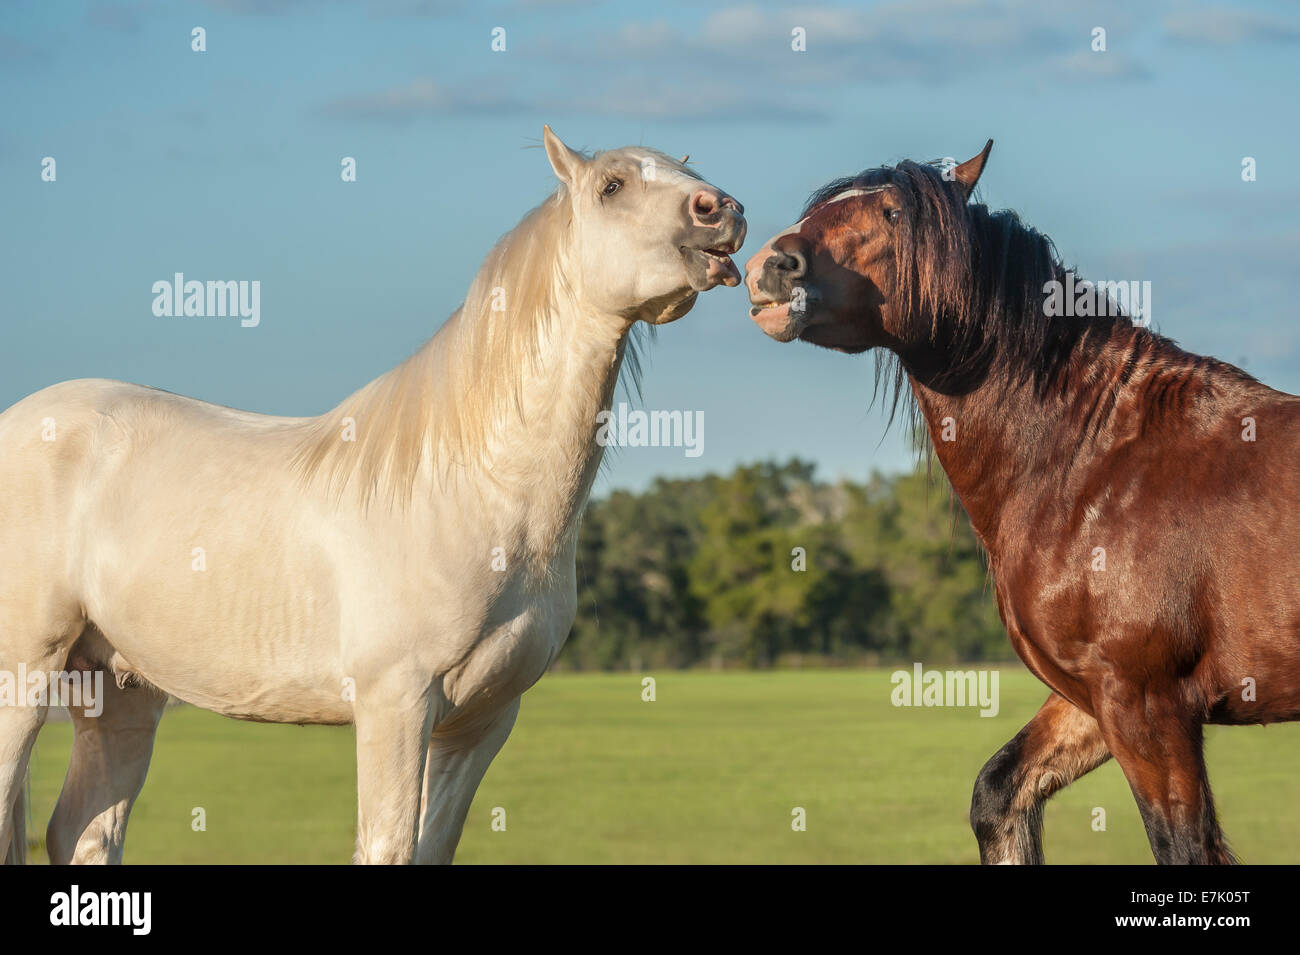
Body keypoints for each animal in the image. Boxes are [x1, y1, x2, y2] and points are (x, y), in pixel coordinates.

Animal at [0, 128, 748, 867]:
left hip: (120, 691)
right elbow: (386, 844)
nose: (724, 212)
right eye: (611, 187)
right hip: (24, 680)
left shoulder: (481, 722)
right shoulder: (397, 704)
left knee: (82, 833)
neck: (476, 490)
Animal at [743, 141, 1300, 867]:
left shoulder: (1147, 704)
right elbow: (999, 795)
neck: (1096, 461)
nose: (766, 267)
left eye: (892, 212)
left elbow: (1183, 848)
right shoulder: (1091, 698)